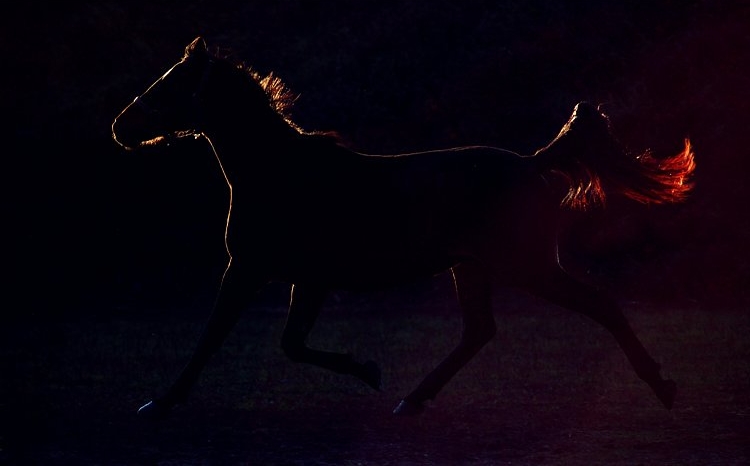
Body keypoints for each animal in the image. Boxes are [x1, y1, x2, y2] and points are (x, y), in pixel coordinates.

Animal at [113, 36, 700, 418]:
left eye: (170, 84)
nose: (121, 126)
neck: (281, 173)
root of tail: (533, 163)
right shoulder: (300, 277)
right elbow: (283, 343)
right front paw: (371, 372)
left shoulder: (259, 270)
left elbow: (222, 336)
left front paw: (158, 402)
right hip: (472, 268)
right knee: (479, 331)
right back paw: (412, 399)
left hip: (528, 267)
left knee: (599, 304)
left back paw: (664, 387)